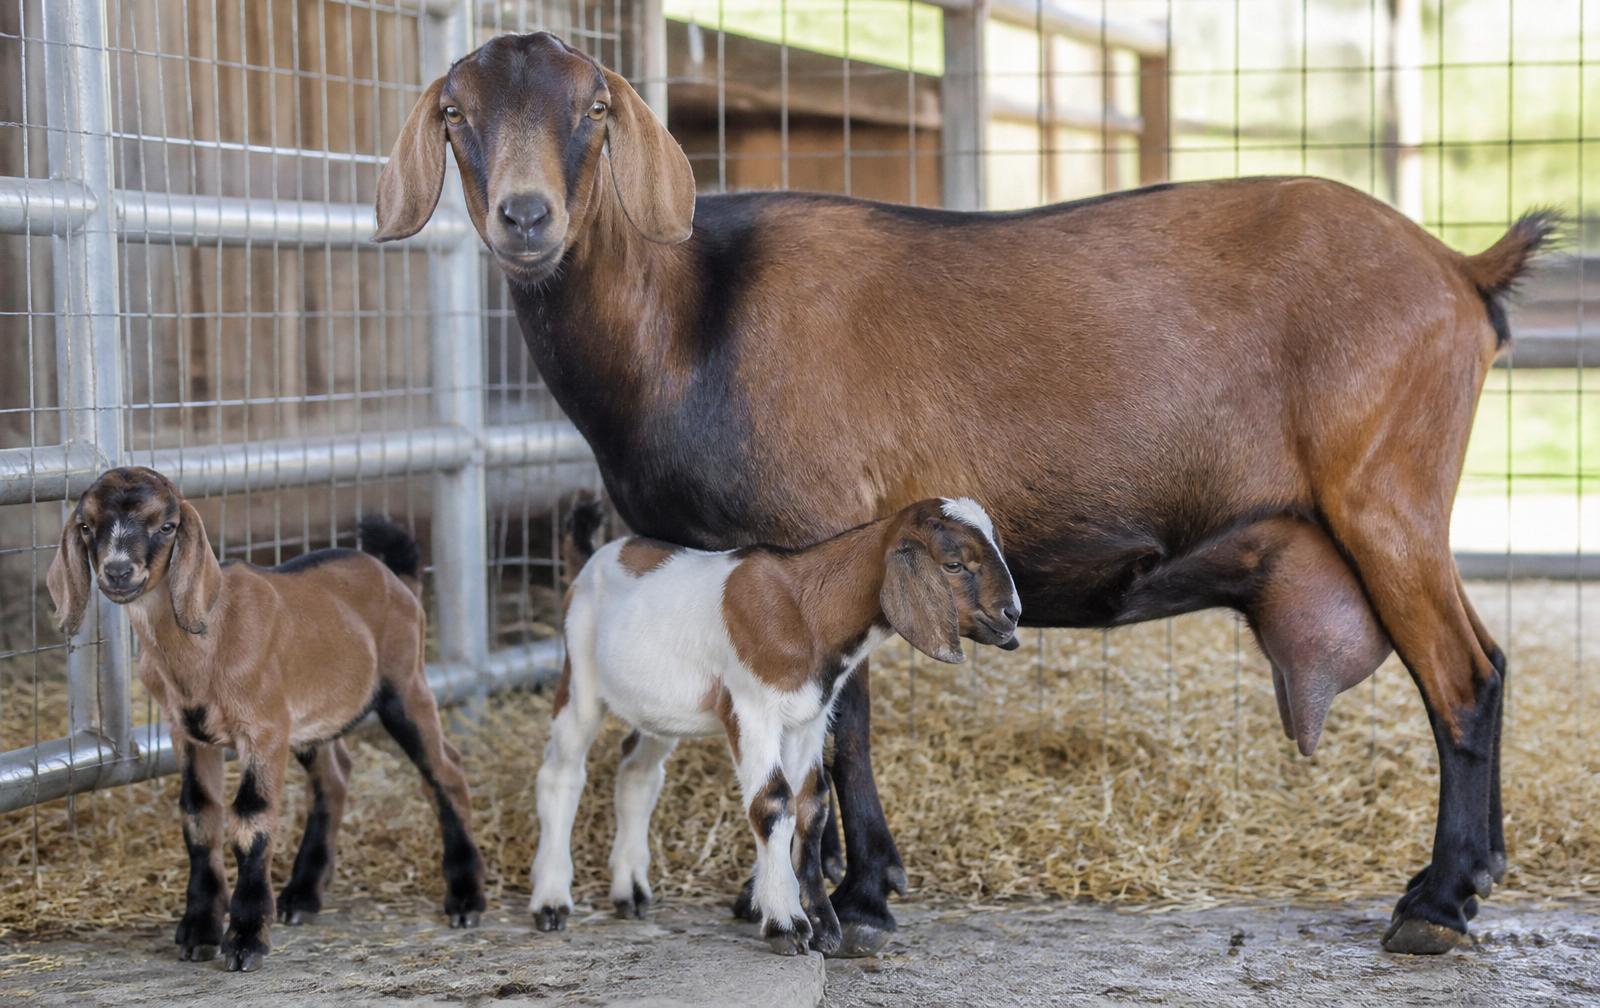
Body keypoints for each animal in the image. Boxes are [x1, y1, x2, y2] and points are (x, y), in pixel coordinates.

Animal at [47, 467, 486, 971]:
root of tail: (397, 579)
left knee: (445, 770)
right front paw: (199, 930)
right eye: (86, 526)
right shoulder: (189, 734)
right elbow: (199, 816)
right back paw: (302, 895)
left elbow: (251, 819)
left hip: (404, 682)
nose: (118, 571)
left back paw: (466, 899)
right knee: (334, 776)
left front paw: (246, 938)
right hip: (312, 718)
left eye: (166, 526)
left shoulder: (264, 729)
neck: (210, 636)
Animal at [530, 496, 1020, 955]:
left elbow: (812, 806)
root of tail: (594, 557)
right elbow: (772, 802)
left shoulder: (809, 718)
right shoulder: (751, 710)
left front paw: (823, 927)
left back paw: (630, 891)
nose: (1012, 615)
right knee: (561, 773)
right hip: (579, 676)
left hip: (657, 707)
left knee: (637, 771)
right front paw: (786, 924)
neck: (804, 609)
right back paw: (551, 901)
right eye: (954, 564)